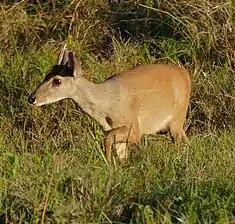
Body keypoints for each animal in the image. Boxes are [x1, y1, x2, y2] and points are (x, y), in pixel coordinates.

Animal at [28, 45, 191, 164]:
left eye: (57, 81)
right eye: (46, 76)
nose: (32, 98)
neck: (105, 105)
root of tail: (185, 73)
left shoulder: (134, 127)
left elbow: (107, 139)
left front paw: (108, 163)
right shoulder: (112, 129)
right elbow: (119, 152)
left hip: (177, 118)